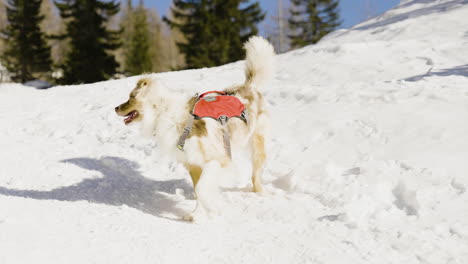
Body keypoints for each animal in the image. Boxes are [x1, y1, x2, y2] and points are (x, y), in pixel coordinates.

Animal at [115, 35, 276, 221]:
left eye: (130, 98)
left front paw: (211, 208)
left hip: (257, 143)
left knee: (256, 174)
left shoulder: (216, 160)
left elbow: (201, 188)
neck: (166, 113)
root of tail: (248, 86)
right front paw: (197, 215)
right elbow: (198, 190)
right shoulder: (193, 163)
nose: (116, 108)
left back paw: (260, 193)